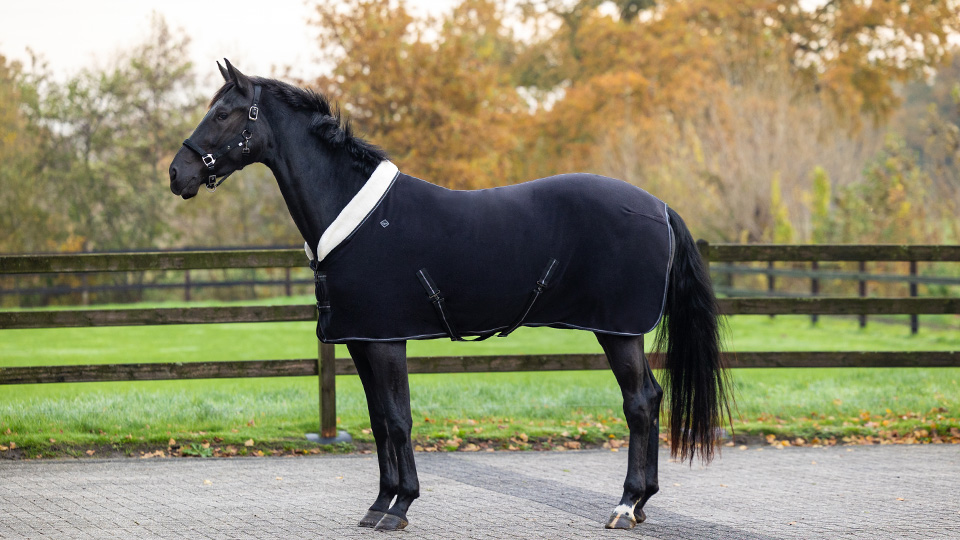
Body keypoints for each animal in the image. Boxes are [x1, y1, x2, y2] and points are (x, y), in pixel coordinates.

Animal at [168, 59, 730, 532]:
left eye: (222, 113)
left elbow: (398, 419)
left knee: (639, 403)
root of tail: (658, 205)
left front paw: (400, 507)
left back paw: (625, 505)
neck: (354, 216)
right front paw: (379, 504)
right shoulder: (360, 341)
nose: (178, 174)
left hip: (618, 331)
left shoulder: (387, 341)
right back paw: (640, 504)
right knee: (651, 398)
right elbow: (378, 421)